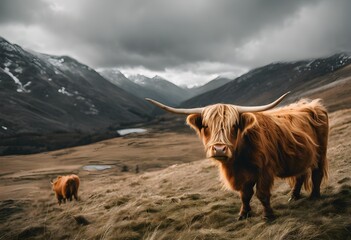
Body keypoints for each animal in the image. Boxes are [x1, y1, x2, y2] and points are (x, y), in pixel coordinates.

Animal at [146, 93, 330, 220]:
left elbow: (262, 194)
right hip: (302, 157)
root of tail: (311, 104)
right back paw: (294, 196)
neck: (238, 160)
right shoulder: (242, 176)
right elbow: (245, 194)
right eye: (206, 126)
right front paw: (243, 214)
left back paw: (314, 197)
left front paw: (268, 216)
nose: (219, 149)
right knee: (300, 175)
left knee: (317, 173)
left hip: (321, 152)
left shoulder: (265, 171)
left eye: (234, 125)